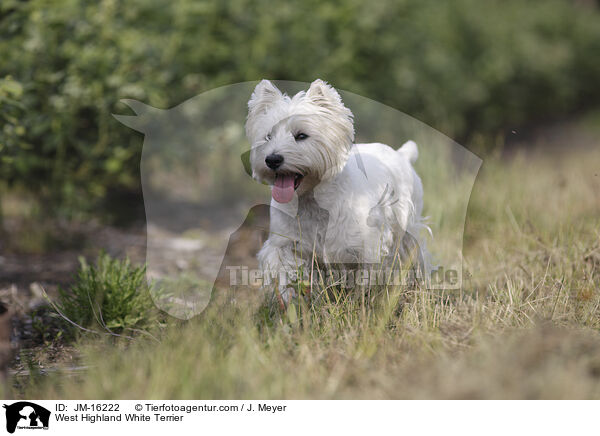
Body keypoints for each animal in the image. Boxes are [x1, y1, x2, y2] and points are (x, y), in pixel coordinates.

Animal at [245, 79, 426, 304]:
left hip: (408, 225)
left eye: (301, 135)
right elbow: (285, 272)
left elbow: (364, 278)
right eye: (268, 136)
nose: (272, 159)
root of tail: (402, 154)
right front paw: (291, 302)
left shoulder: (364, 246)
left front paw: (361, 302)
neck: (312, 201)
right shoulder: (284, 244)